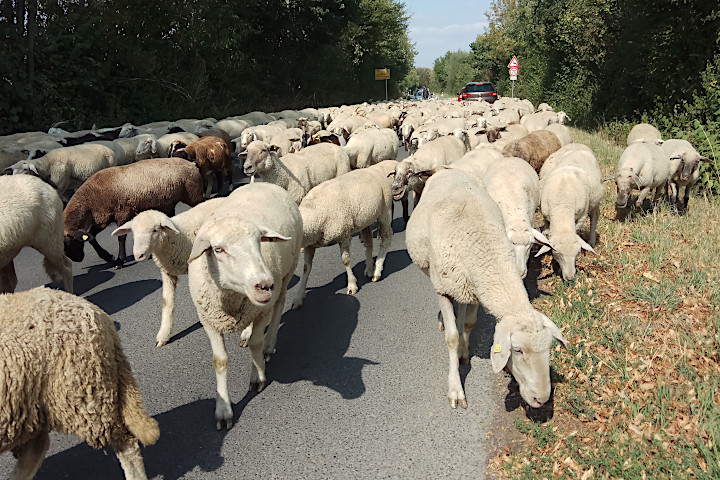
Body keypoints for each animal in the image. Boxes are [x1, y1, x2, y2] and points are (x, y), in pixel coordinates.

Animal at [63, 158, 204, 268]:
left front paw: (119, 261)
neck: (89, 202)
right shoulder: (103, 218)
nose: (77, 259)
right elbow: (91, 237)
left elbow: (121, 237)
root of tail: (191, 164)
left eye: (68, 243)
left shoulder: (123, 212)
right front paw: (109, 257)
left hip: (193, 194)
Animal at [187, 182, 302, 430]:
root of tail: (261, 182)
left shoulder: (262, 310)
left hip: (287, 274)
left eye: (259, 240)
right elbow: (219, 361)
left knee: (279, 305)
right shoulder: (208, 320)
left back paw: (269, 344)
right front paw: (223, 410)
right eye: (218, 249)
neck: (230, 299)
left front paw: (258, 376)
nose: (265, 285)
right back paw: (246, 333)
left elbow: (256, 344)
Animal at [290, 158, 396, 308]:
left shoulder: (344, 234)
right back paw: (369, 269)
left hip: (385, 210)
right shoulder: (310, 245)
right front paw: (298, 297)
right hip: (365, 218)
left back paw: (377, 271)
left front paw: (352, 285)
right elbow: (306, 269)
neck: (315, 211)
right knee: (368, 242)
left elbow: (346, 261)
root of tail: (381, 166)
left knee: (386, 238)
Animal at [536, 147, 604, 282]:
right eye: (557, 254)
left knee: (594, 217)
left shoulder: (581, 217)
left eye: (577, 253)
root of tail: (580, 145)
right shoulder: (546, 216)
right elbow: (547, 232)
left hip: (595, 201)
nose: (570, 278)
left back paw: (592, 241)